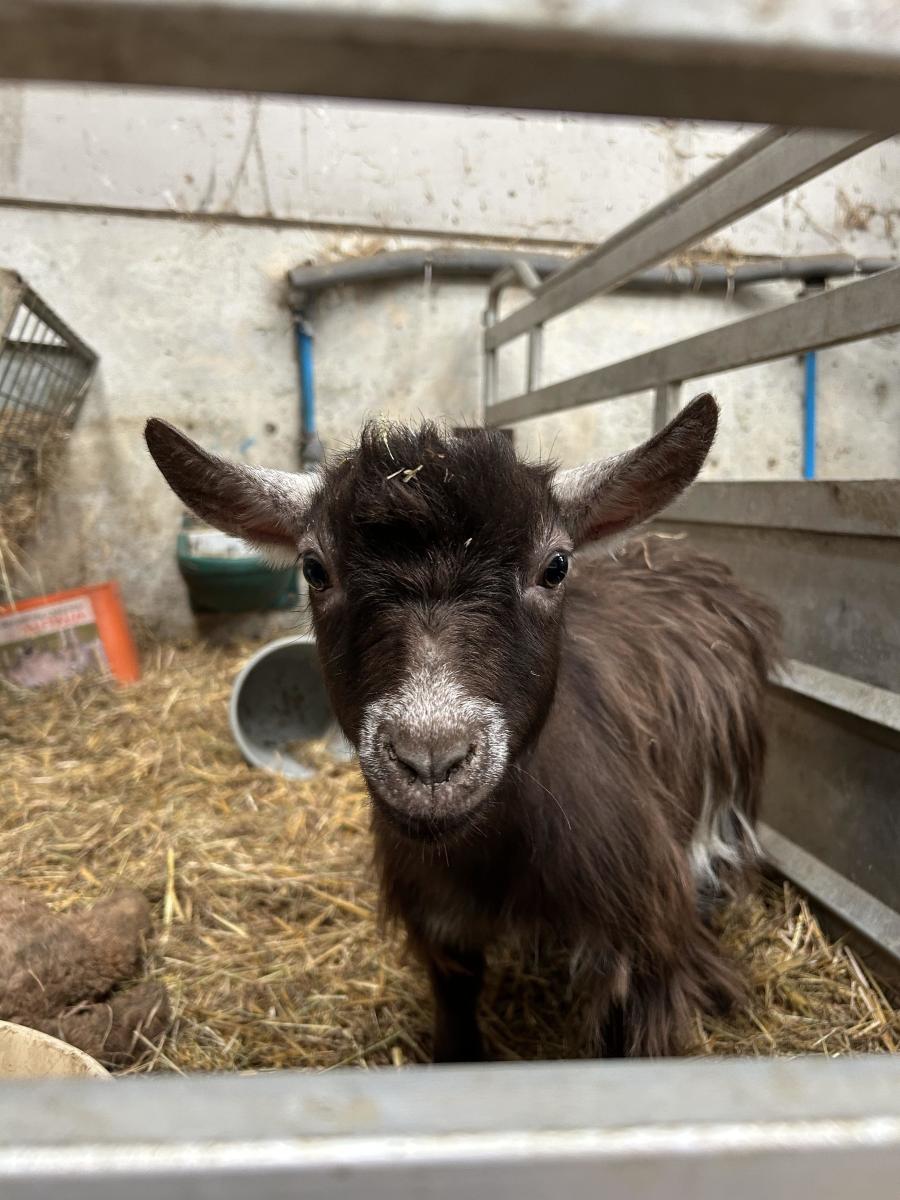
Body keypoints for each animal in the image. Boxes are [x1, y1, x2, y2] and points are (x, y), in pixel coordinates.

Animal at [145, 394, 780, 1060]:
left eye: (556, 566)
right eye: (315, 570)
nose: (431, 759)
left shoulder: (642, 946)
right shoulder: (438, 918)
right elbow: (456, 1008)